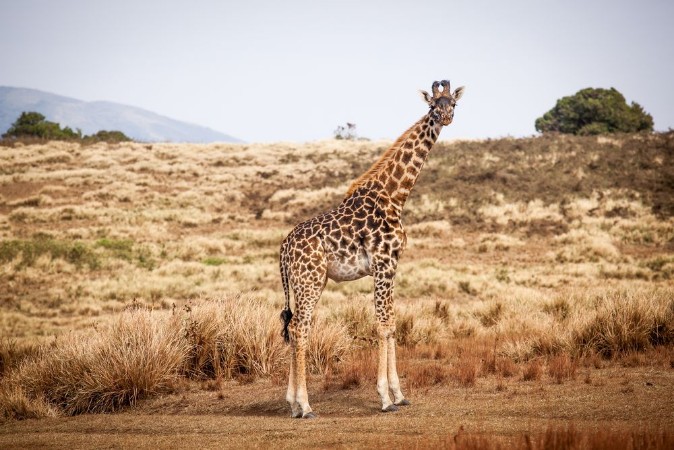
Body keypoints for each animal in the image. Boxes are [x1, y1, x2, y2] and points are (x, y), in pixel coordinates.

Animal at [279, 80, 465, 418]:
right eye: (432, 105)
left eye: (453, 104)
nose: (445, 117)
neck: (395, 196)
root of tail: (284, 249)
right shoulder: (383, 264)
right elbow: (382, 325)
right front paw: (385, 398)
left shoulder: (392, 267)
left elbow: (391, 324)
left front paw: (400, 395)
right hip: (309, 280)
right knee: (299, 329)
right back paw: (305, 405)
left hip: (309, 281)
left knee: (299, 328)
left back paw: (293, 404)